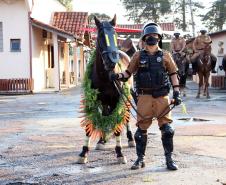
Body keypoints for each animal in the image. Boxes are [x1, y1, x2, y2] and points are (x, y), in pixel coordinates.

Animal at [77, 15, 132, 164]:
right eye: (101, 35)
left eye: (115, 34)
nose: (112, 62)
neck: (105, 76)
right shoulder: (93, 100)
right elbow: (89, 124)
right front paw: (84, 152)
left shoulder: (117, 100)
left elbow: (118, 123)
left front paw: (119, 153)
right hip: (104, 102)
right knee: (105, 116)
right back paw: (102, 140)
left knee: (126, 117)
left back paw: (130, 139)